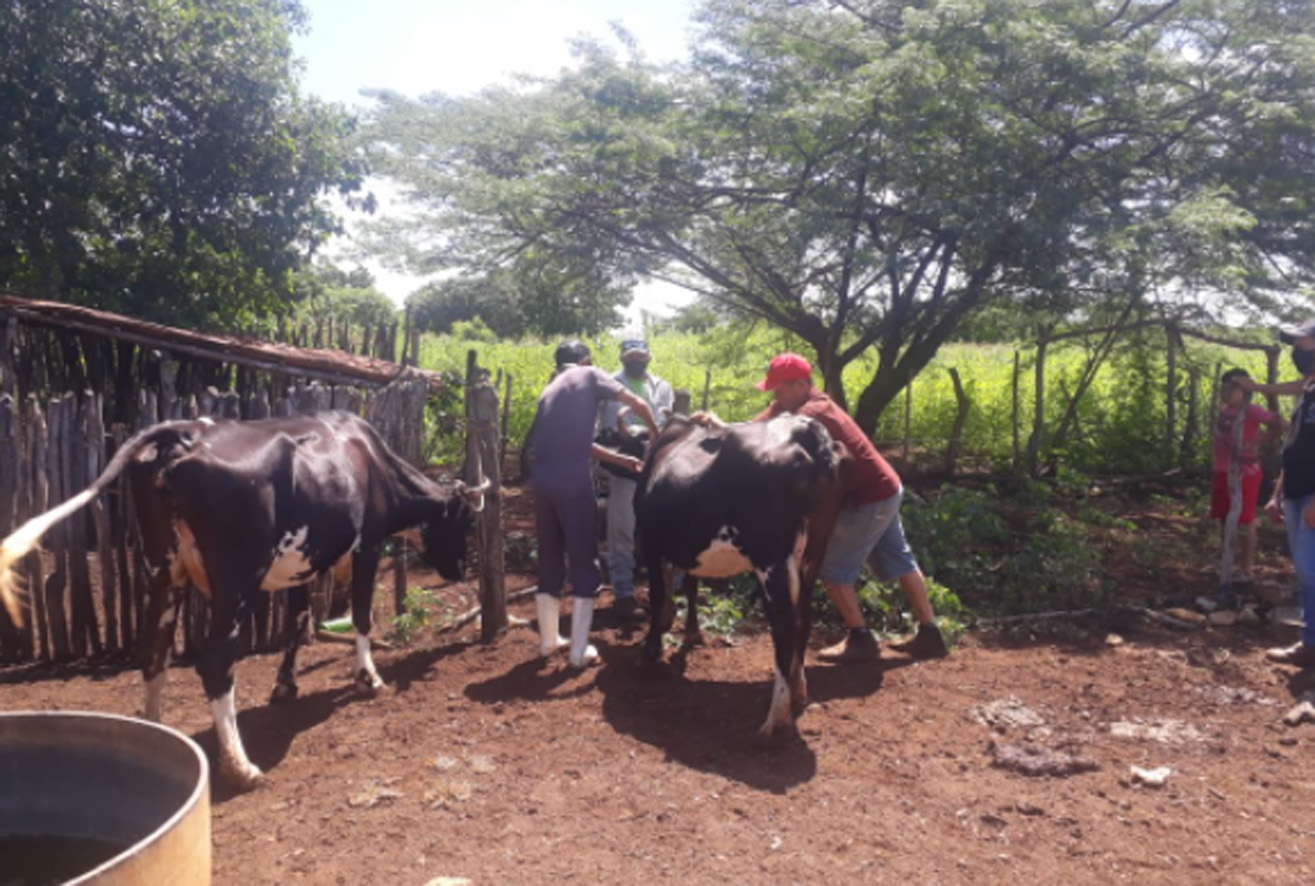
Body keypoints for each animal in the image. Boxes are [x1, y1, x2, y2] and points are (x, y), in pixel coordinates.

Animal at [0, 410, 483, 788]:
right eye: (464, 524)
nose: (462, 569)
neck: (371, 459)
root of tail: (183, 433)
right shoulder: (366, 548)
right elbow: (362, 617)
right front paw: (369, 678)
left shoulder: (301, 562)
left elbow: (298, 621)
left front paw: (285, 685)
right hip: (235, 582)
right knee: (215, 662)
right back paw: (240, 766)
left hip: (164, 572)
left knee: (153, 650)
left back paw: (156, 731)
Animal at [633, 415, 841, 736]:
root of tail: (804, 429)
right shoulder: (688, 552)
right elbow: (690, 586)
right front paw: (692, 632)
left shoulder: (650, 543)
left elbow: (658, 595)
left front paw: (652, 649)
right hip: (813, 555)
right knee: (804, 620)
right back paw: (797, 689)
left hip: (770, 560)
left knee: (784, 626)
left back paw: (775, 719)